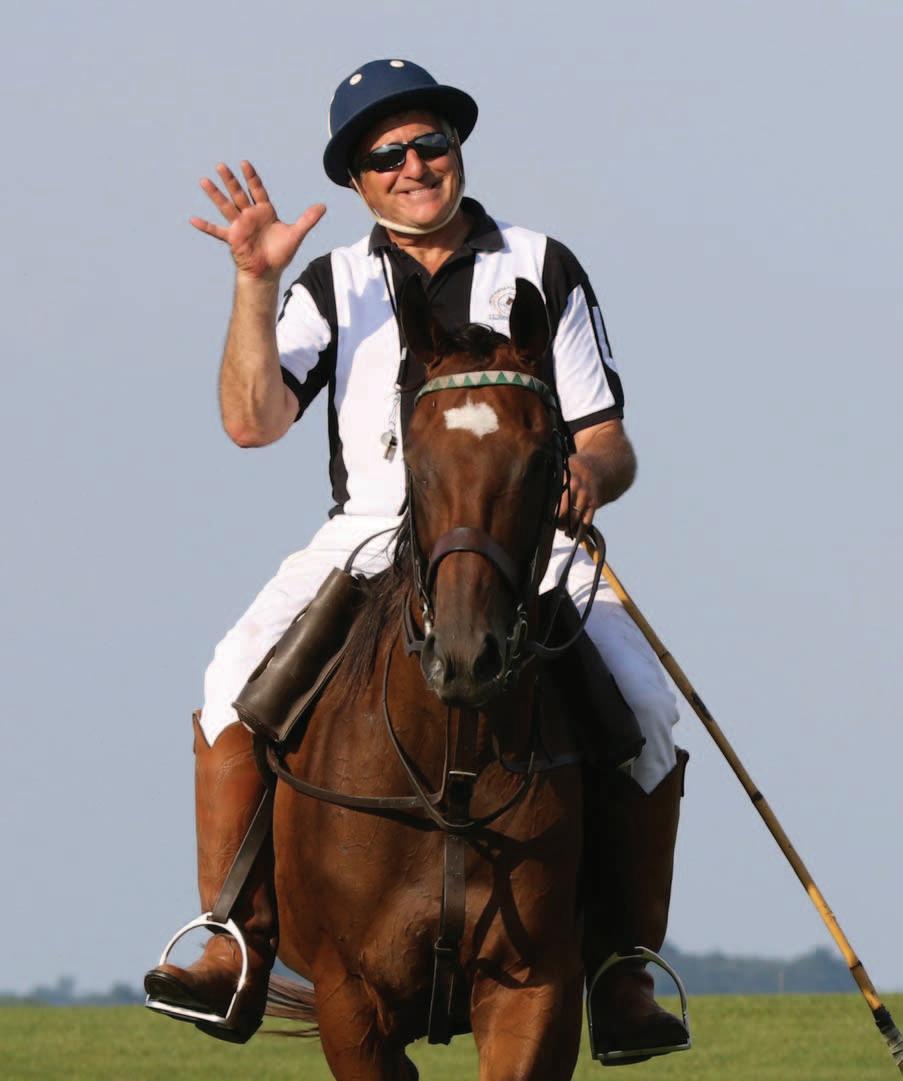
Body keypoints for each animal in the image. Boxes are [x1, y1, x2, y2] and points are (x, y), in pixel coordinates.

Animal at [266, 276, 596, 1081]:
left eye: (540, 461)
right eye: (413, 459)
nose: (466, 657)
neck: (451, 777)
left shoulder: (538, 986)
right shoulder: (349, 999)